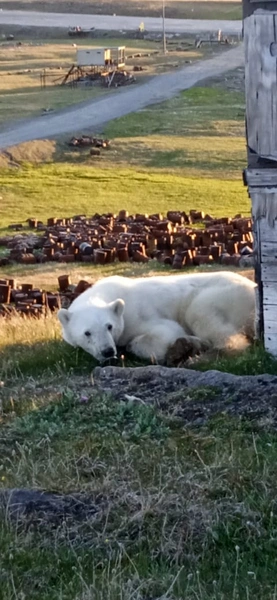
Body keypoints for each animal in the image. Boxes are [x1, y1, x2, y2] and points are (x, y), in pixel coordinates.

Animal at [57, 270, 256, 364]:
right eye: (87, 333)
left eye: (109, 326)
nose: (107, 351)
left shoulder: (137, 315)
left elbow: (166, 332)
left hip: (224, 295)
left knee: (201, 315)